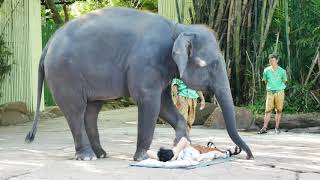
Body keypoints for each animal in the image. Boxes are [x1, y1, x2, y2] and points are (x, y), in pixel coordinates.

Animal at [25, 7, 252, 161]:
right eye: (211, 65)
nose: (248, 156)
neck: (179, 28)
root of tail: (48, 44)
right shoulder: (146, 63)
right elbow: (149, 102)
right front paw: (142, 157)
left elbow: (164, 104)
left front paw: (179, 145)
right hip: (64, 74)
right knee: (76, 110)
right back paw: (88, 156)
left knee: (91, 110)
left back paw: (101, 154)